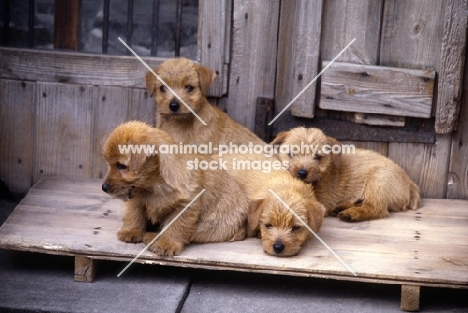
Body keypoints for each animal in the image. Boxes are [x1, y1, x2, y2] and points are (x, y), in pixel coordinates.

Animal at [101, 120, 250, 255]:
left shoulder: (185, 206)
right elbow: (135, 214)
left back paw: (152, 237)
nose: (104, 187)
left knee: (193, 234)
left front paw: (167, 244)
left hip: (211, 224)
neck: (155, 186)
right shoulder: (137, 198)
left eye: (121, 166)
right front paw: (131, 231)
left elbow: (176, 227)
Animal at [270, 127, 420, 222]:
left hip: (379, 180)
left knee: (375, 208)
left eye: (318, 157)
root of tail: (410, 183)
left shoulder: (322, 200)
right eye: (291, 154)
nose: (302, 173)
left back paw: (351, 214)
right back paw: (341, 207)